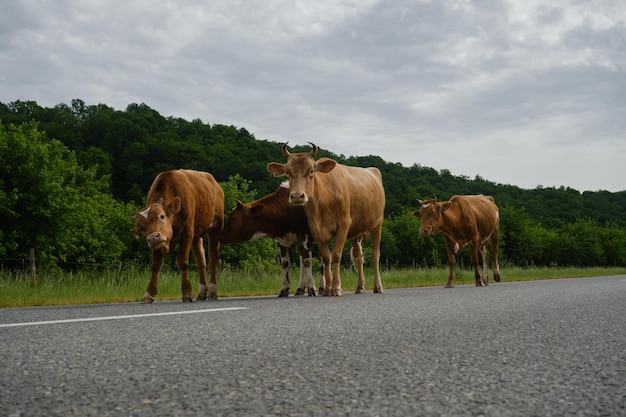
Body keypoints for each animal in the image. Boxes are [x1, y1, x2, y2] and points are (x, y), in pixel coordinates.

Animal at [130, 168, 223, 302]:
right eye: (140, 228)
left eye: (161, 216)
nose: (153, 237)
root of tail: (215, 184)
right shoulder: (158, 244)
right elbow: (155, 266)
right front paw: (149, 294)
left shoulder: (187, 233)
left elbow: (183, 262)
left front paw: (187, 293)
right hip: (197, 235)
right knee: (201, 260)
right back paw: (202, 292)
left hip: (215, 227)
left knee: (213, 258)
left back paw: (212, 291)